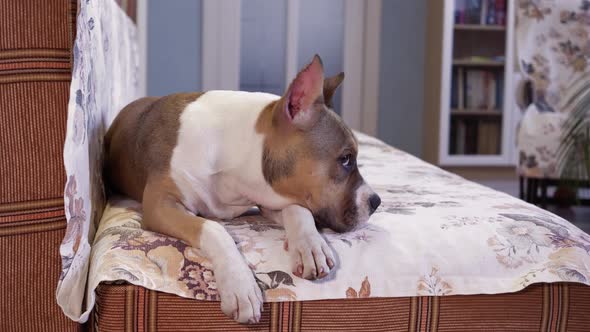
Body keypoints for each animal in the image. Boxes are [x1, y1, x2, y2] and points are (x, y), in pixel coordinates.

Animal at [105, 55, 384, 324]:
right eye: (346, 159)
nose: (376, 202)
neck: (234, 151)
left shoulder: (268, 199)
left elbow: (298, 210)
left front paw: (310, 246)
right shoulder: (160, 204)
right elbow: (213, 228)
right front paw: (240, 285)